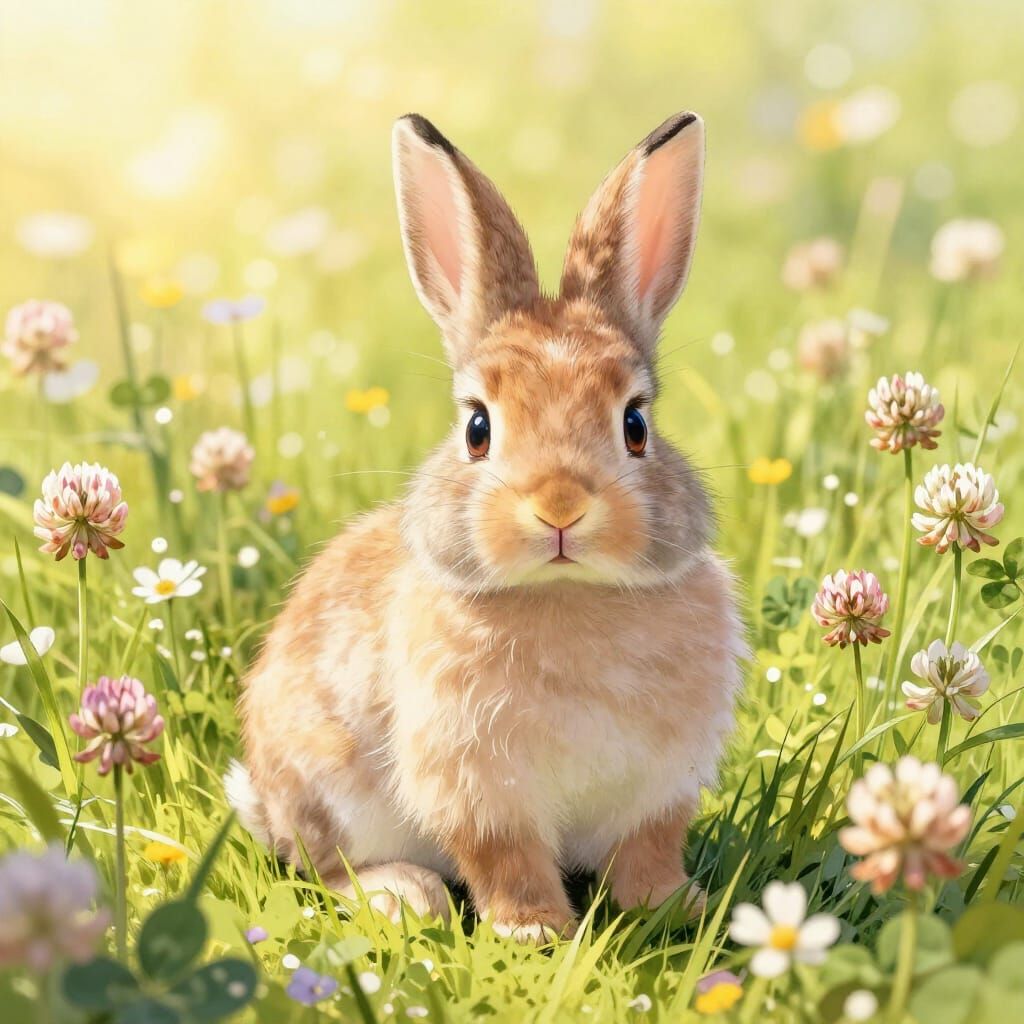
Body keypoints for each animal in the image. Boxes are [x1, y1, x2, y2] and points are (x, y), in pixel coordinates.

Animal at [226, 110, 746, 941]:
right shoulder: (477, 784)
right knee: (328, 868)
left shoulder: (661, 786)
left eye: (635, 423)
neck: (571, 598)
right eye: (477, 427)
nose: (560, 506)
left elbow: (647, 851)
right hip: (326, 789)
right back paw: (404, 896)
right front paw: (534, 932)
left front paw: (675, 907)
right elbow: (506, 857)